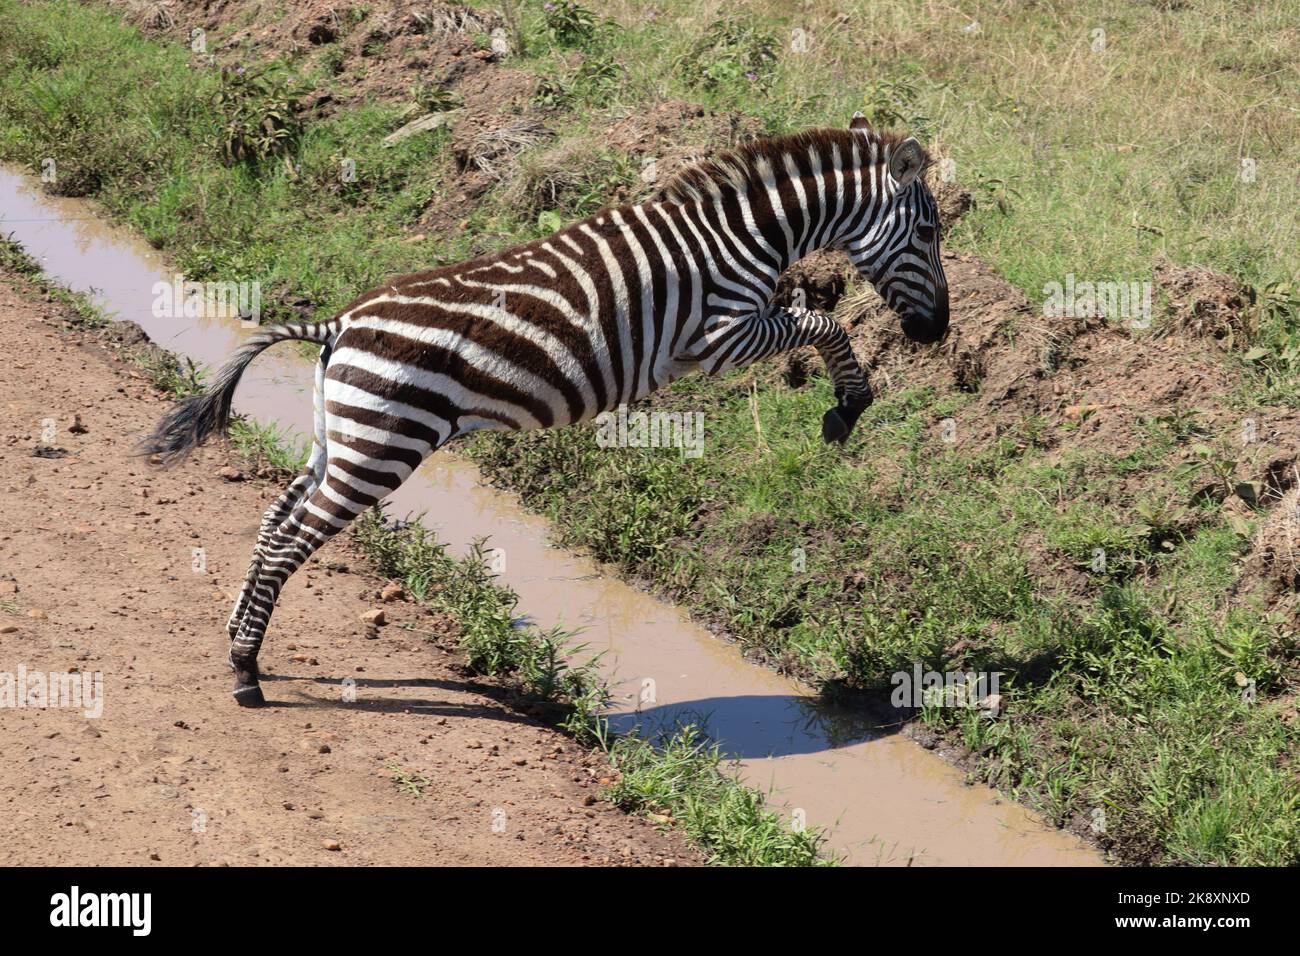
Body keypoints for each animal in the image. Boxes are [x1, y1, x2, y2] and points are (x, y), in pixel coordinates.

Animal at [142, 115, 950, 707]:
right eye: (931, 233)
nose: (936, 333)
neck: (744, 236)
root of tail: (337, 325)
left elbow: (817, 320)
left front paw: (843, 403)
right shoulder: (715, 336)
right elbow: (825, 323)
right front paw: (848, 408)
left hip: (338, 438)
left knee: (273, 521)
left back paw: (241, 641)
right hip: (381, 446)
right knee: (289, 540)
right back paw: (245, 671)